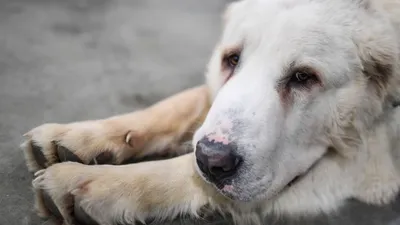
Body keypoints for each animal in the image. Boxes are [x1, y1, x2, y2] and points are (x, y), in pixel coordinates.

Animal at [20, 0, 400, 224]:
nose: (212, 159)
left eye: (304, 77)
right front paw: (81, 135)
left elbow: (183, 171)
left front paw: (93, 183)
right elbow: (179, 104)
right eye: (231, 59)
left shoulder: (371, 168)